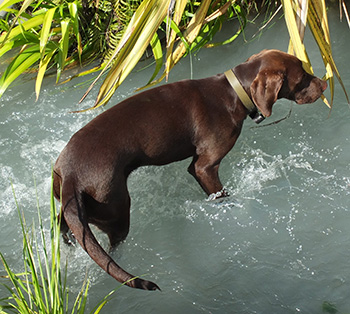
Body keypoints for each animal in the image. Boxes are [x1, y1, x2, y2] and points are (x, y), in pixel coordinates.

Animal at [53, 50, 326, 290]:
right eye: (302, 77)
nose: (324, 84)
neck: (233, 93)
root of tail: (71, 176)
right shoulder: (204, 167)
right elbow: (222, 195)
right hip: (116, 211)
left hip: (71, 207)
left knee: (64, 227)